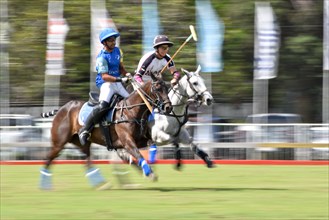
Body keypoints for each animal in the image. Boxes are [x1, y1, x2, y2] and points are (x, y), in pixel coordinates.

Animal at [39, 75, 172, 189]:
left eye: (167, 88)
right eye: (157, 88)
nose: (168, 107)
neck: (131, 110)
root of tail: (61, 109)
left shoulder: (139, 140)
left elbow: (149, 145)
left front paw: (147, 168)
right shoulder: (127, 141)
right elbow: (138, 154)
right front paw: (149, 172)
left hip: (82, 143)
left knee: (87, 161)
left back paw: (101, 184)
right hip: (59, 142)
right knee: (48, 159)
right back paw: (44, 185)